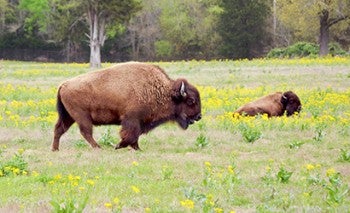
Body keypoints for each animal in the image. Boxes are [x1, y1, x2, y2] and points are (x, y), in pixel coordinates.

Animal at [50, 61, 201, 151]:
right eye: (191, 101)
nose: (199, 116)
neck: (161, 91)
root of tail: (63, 85)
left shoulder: (139, 122)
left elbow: (135, 136)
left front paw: (137, 149)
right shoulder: (132, 120)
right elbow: (130, 135)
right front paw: (118, 146)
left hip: (68, 117)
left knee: (59, 129)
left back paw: (55, 149)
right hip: (81, 117)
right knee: (85, 132)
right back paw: (98, 147)